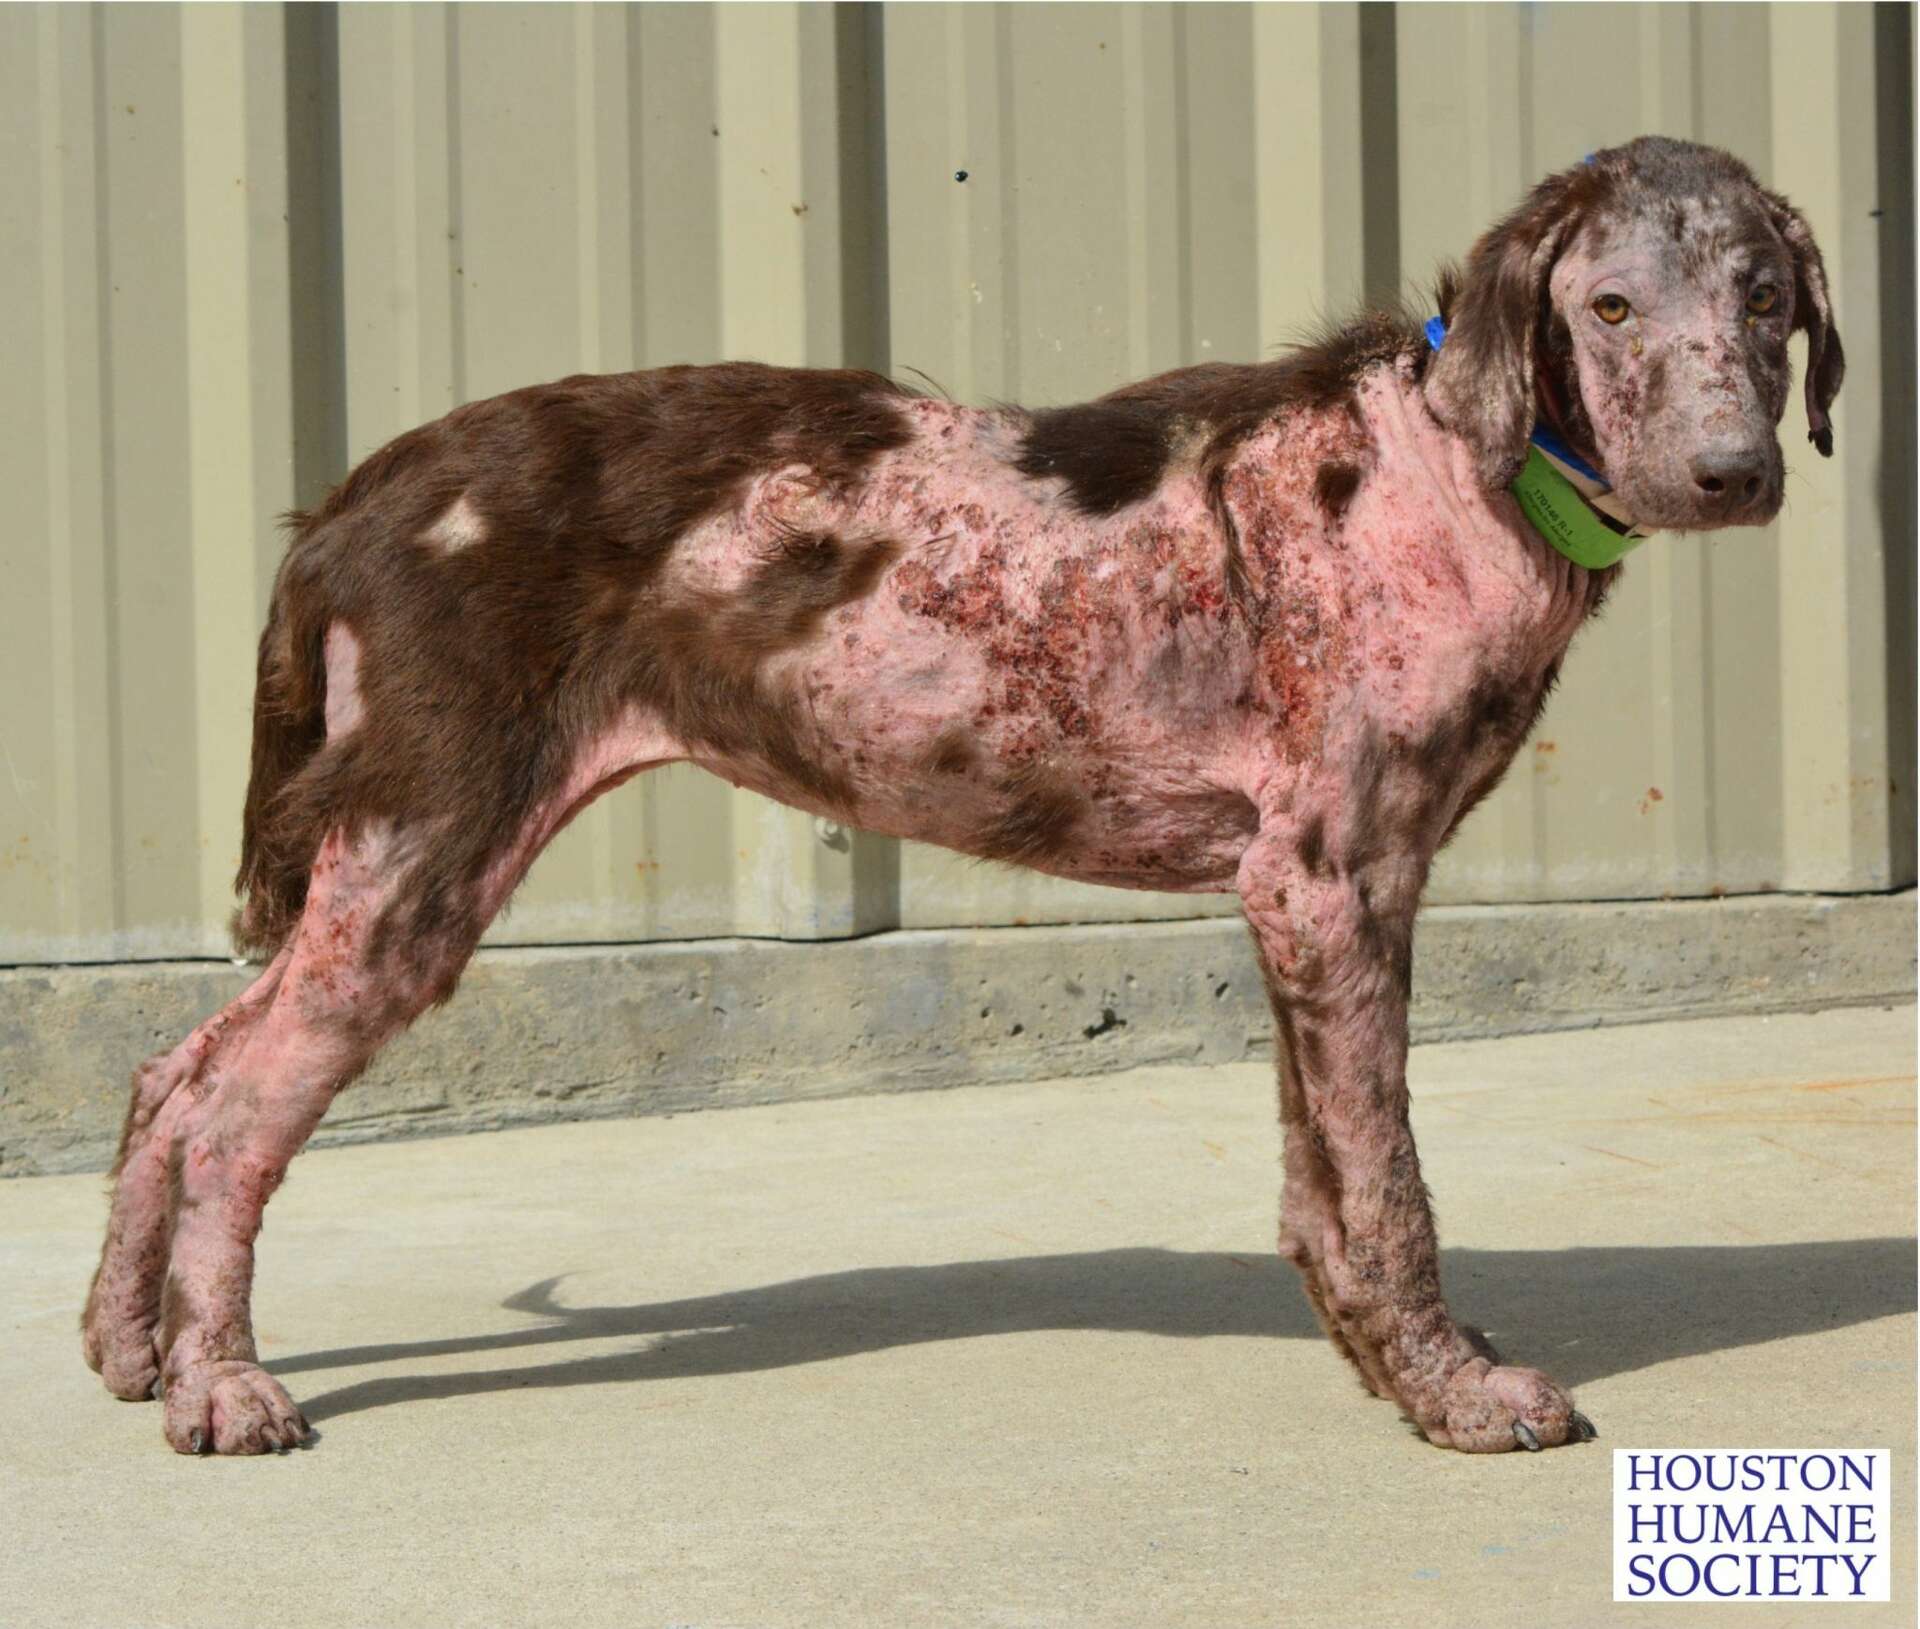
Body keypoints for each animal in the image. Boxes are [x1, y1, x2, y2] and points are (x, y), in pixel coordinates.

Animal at [82, 140, 1835, 1459]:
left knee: (176, 1073)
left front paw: (1392, 1361)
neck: (1450, 466)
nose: (1736, 476)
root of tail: (354, 498)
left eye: (1763, 300)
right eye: (1610, 305)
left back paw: (127, 1347)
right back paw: (222, 1386)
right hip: (422, 849)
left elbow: (1322, 1183)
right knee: (233, 1112)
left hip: (384, 859)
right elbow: (1385, 1180)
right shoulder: (1333, 880)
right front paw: (1450, 1393)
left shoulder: (1304, 902)